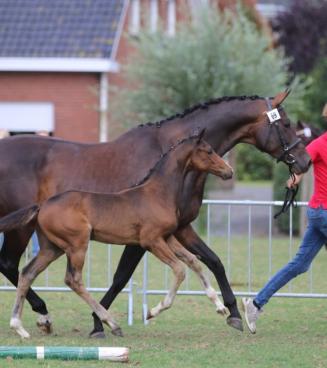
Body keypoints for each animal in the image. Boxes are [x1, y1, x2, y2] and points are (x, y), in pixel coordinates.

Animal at [1, 133, 234, 340]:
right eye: (209, 151)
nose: (229, 171)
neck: (157, 193)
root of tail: (43, 205)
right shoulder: (151, 241)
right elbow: (179, 269)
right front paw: (154, 310)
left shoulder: (167, 238)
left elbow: (194, 261)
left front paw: (220, 307)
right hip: (77, 244)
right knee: (73, 279)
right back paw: (111, 323)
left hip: (52, 248)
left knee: (27, 273)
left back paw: (20, 327)